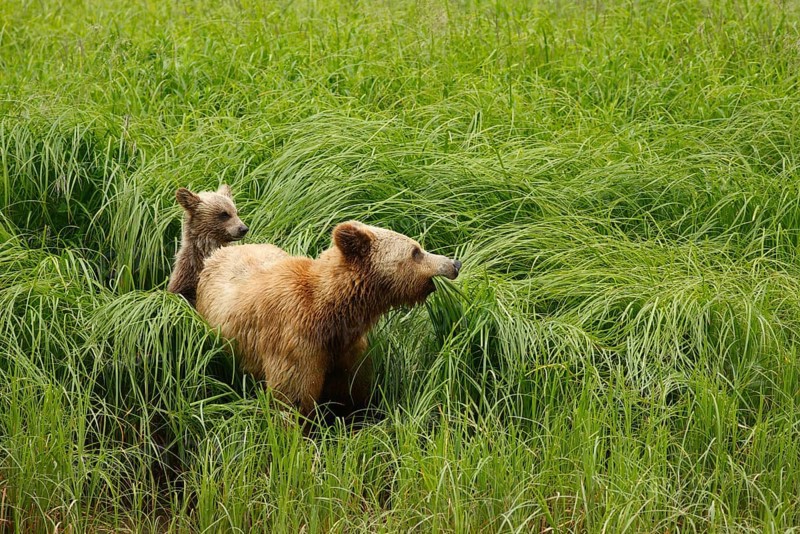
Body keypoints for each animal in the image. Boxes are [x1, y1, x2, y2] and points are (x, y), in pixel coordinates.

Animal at [195, 220, 462, 417]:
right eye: (416, 252)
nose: (454, 263)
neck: (332, 315)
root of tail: (218, 253)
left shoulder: (347, 350)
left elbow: (351, 394)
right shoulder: (295, 342)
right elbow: (293, 399)